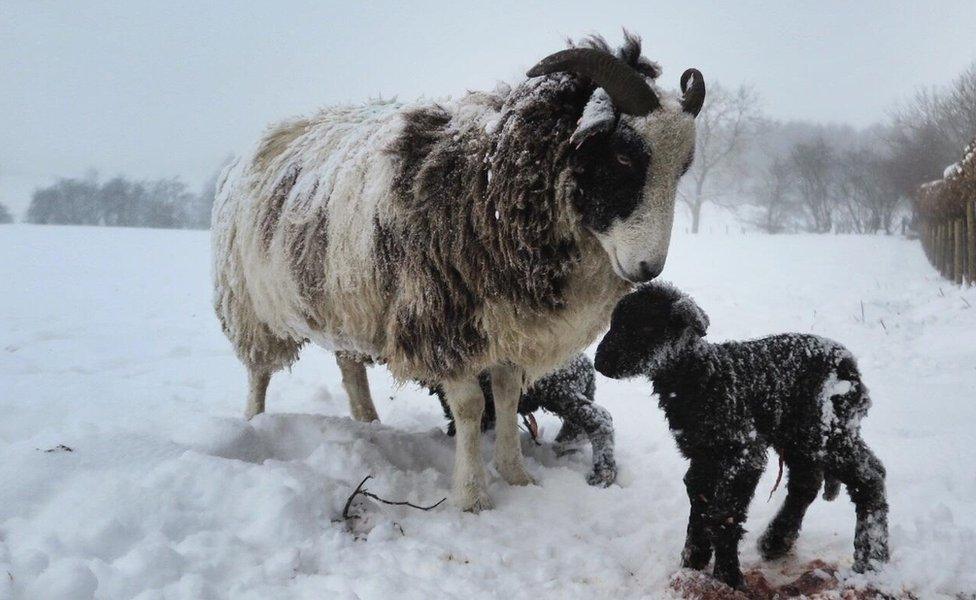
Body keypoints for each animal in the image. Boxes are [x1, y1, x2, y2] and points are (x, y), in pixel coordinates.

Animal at [592, 284, 888, 588]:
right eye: (615, 322)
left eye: (644, 325)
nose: (600, 363)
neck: (701, 380)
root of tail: (848, 362)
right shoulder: (703, 455)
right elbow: (699, 501)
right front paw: (693, 562)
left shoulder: (744, 453)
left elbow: (724, 514)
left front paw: (728, 577)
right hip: (798, 436)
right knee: (805, 484)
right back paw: (776, 541)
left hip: (826, 430)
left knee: (869, 476)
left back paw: (871, 558)